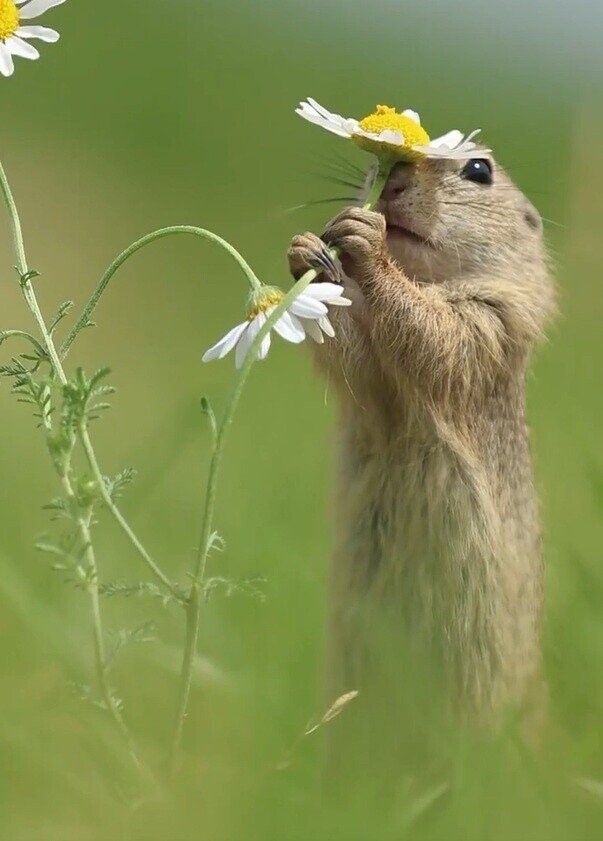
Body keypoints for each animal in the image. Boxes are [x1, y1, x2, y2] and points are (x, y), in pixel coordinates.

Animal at [288, 153, 555, 736]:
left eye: (478, 168)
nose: (391, 179)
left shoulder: (492, 321)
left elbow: (436, 333)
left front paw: (366, 242)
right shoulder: (378, 382)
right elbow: (357, 357)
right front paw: (306, 253)